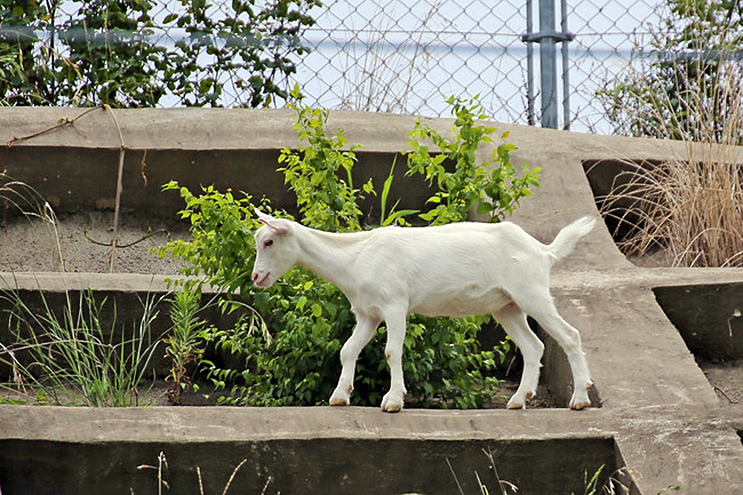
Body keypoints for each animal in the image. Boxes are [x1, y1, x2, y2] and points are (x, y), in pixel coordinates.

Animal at [253, 209, 596, 414]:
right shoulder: (368, 313)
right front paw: (340, 395)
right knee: (533, 346)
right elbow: (347, 350)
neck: (356, 257)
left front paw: (393, 401)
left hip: (532, 292)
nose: (256, 277)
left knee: (570, 335)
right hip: (506, 306)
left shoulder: (395, 305)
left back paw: (579, 399)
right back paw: (518, 400)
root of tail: (543, 250)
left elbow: (392, 351)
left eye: (268, 241)